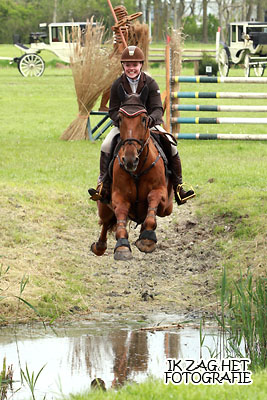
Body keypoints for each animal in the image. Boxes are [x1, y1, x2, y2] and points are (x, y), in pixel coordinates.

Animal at [91, 88, 175, 260]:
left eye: (143, 119)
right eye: (120, 119)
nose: (130, 160)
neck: (137, 170)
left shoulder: (162, 195)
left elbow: (153, 200)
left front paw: (147, 239)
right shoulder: (119, 197)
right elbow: (121, 213)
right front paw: (122, 246)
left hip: (167, 208)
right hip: (103, 205)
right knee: (105, 222)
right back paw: (99, 246)